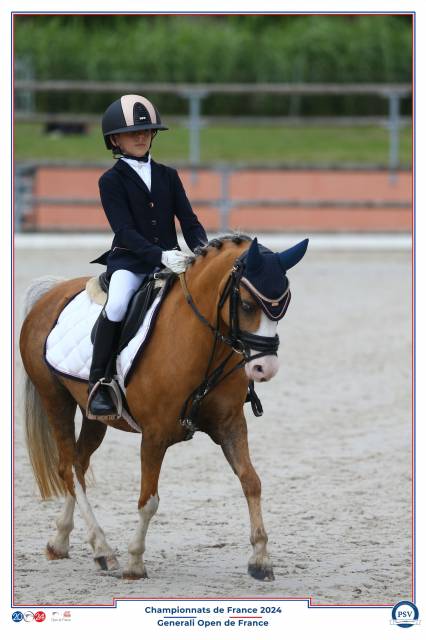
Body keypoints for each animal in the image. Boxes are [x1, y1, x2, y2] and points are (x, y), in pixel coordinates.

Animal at [19, 234, 308, 582]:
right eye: (248, 305)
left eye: (283, 306)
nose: (266, 368)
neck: (201, 341)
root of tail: (51, 293)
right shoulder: (155, 435)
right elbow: (149, 500)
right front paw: (134, 562)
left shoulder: (230, 424)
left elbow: (251, 481)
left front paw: (261, 559)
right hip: (55, 399)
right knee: (66, 468)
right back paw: (103, 549)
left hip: (94, 416)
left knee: (78, 464)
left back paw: (61, 541)